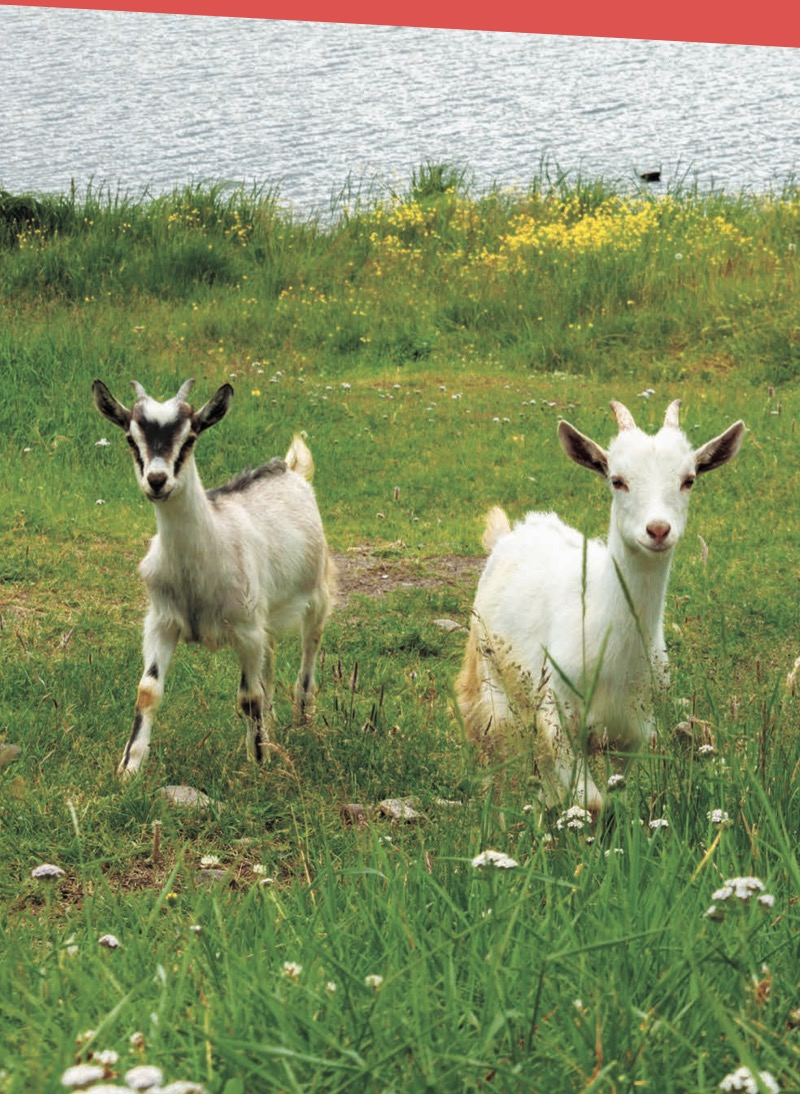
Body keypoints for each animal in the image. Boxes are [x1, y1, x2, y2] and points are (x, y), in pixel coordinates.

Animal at [92, 377, 335, 778]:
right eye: (130, 437)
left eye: (190, 437)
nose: (157, 480)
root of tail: (292, 469)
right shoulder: (161, 621)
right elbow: (147, 690)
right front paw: (129, 768)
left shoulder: (245, 630)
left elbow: (249, 697)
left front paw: (258, 764)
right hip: (265, 613)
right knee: (270, 659)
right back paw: (273, 727)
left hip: (316, 592)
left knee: (310, 646)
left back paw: (303, 720)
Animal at [456, 399, 745, 815]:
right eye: (617, 480)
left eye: (689, 479)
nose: (658, 530)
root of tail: (511, 532)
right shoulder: (558, 717)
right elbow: (591, 802)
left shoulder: (631, 731)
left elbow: (613, 795)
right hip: (488, 674)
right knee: (489, 741)